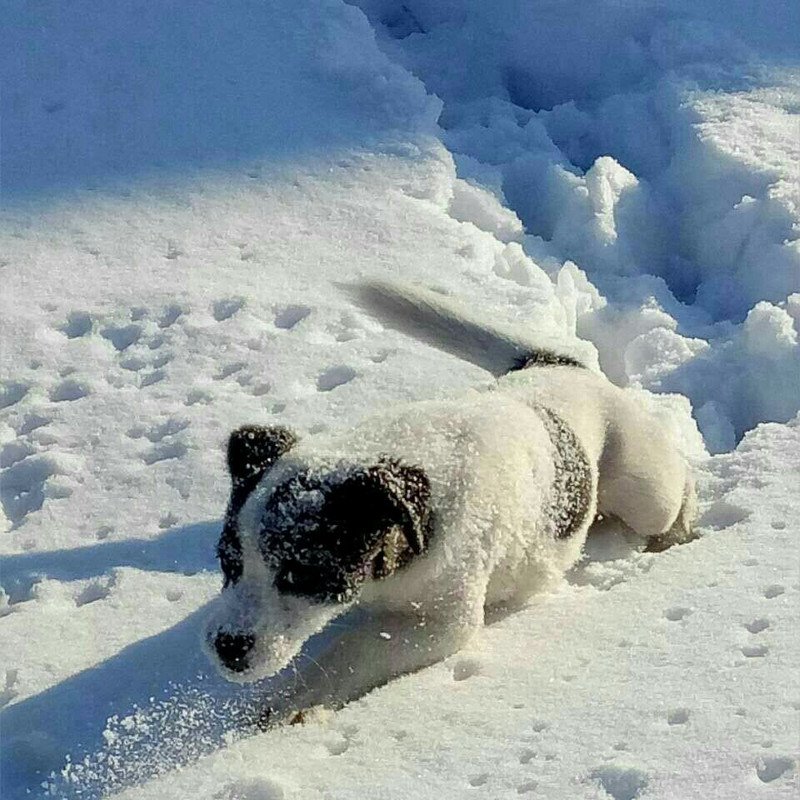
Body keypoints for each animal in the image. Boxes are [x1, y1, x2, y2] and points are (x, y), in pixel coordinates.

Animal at [203, 280, 696, 712]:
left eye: (302, 574)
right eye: (228, 562)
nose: (227, 648)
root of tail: (558, 364)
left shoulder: (444, 624)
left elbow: (352, 652)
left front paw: (290, 703)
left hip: (645, 490)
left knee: (679, 483)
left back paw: (680, 529)